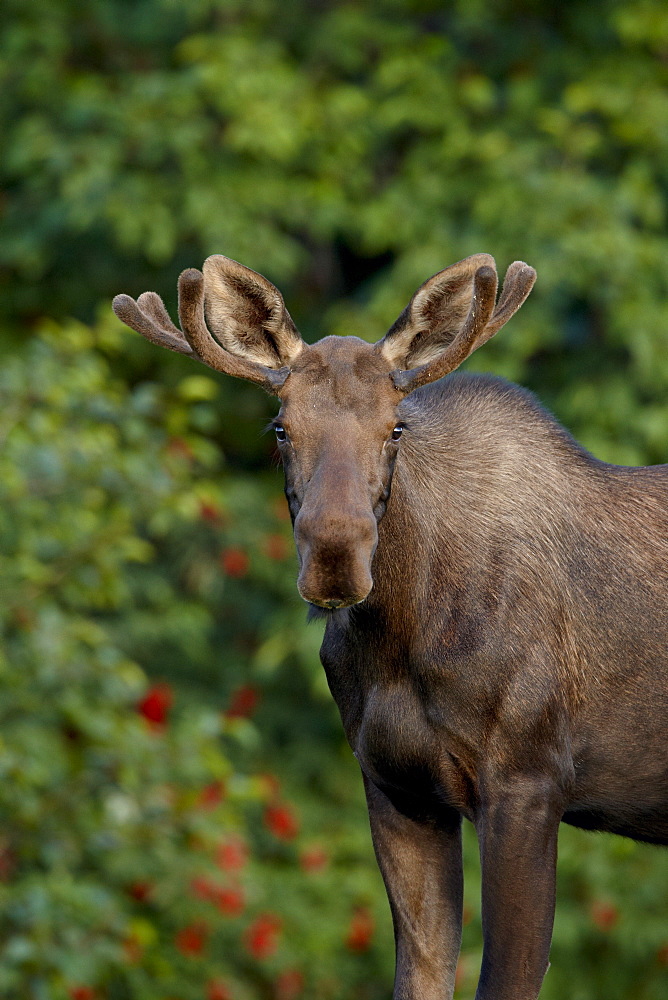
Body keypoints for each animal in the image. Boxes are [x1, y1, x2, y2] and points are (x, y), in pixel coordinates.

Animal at [115, 258, 668, 1000]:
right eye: (280, 428)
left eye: (395, 427)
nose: (334, 556)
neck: (403, 637)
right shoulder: (395, 788)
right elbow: (420, 975)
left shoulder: (529, 780)